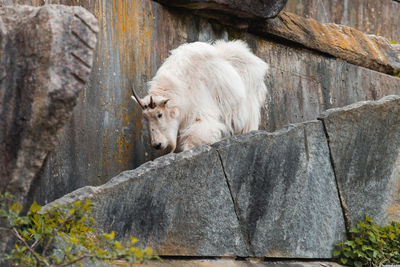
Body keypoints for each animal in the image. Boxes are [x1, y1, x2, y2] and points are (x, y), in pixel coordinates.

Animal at [132, 39, 268, 153]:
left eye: (159, 114)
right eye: (145, 118)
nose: (157, 144)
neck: (182, 87)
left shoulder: (200, 109)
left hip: (249, 102)